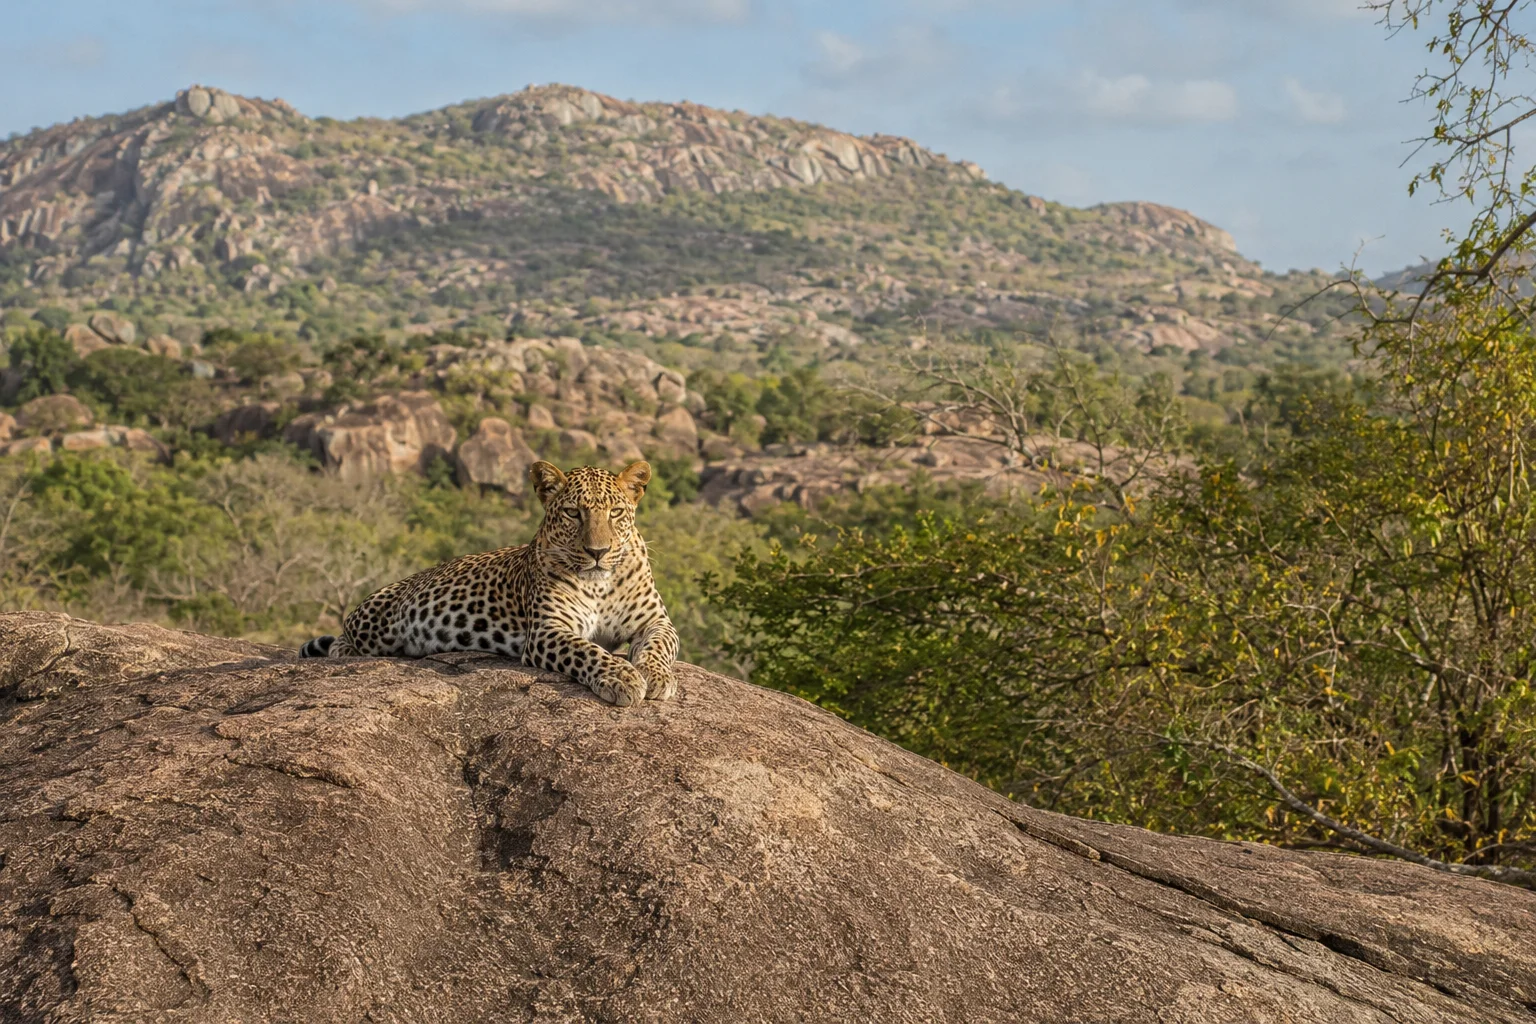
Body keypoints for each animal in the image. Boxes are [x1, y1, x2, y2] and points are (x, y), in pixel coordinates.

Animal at [298, 459, 679, 706]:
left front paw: (656, 677)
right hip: (377, 627)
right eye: (573, 513)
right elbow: (588, 651)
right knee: (341, 642)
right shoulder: (548, 630)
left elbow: (659, 647)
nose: (598, 552)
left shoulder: (656, 621)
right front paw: (623, 678)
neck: (600, 584)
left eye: (615, 513)